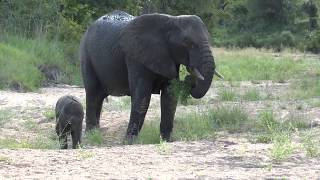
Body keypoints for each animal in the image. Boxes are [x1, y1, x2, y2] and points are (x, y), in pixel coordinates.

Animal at [80, 10, 221, 143]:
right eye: (188, 43)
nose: (189, 79)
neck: (171, 20)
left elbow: (170, 96)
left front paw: (166, 140)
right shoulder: (135, 57)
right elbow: (142, 96)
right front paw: (129, 141)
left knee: (99, 97)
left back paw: (96, 133)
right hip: (86, 54)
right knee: (93, 93)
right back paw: (91, 134)